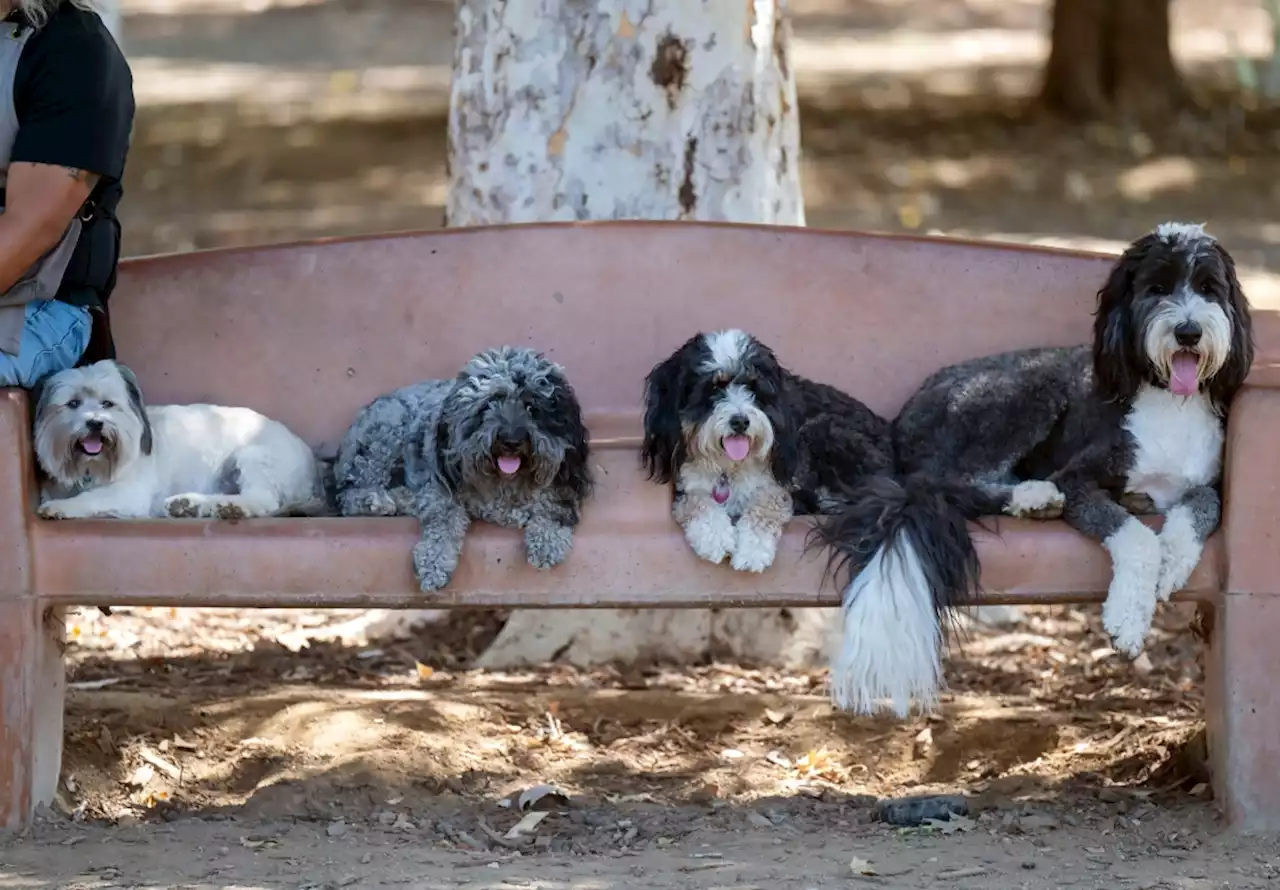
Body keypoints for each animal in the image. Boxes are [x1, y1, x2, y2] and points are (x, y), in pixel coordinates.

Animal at [640, 330, 890, 573]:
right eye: (713, 389)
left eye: (753, 387)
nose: (740, 421)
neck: (729, 467)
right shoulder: (686, 485)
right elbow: (699, 502)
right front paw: (716, 539)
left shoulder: (777, 484)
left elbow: (766, 506)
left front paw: (751, 551)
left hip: (822, 429)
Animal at [814, 222, 1254, 717]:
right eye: (1157, 288)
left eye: (1208, 288)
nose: (1188, 331)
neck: (1166, 400)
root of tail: (899, 422)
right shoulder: (1077, 479)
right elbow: (1137, 540)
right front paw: (1127, 619)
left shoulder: (1206, 478)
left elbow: (1204, 502)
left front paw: (1175, 559)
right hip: (1022, 392)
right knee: (950, 481)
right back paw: (1035, 497)